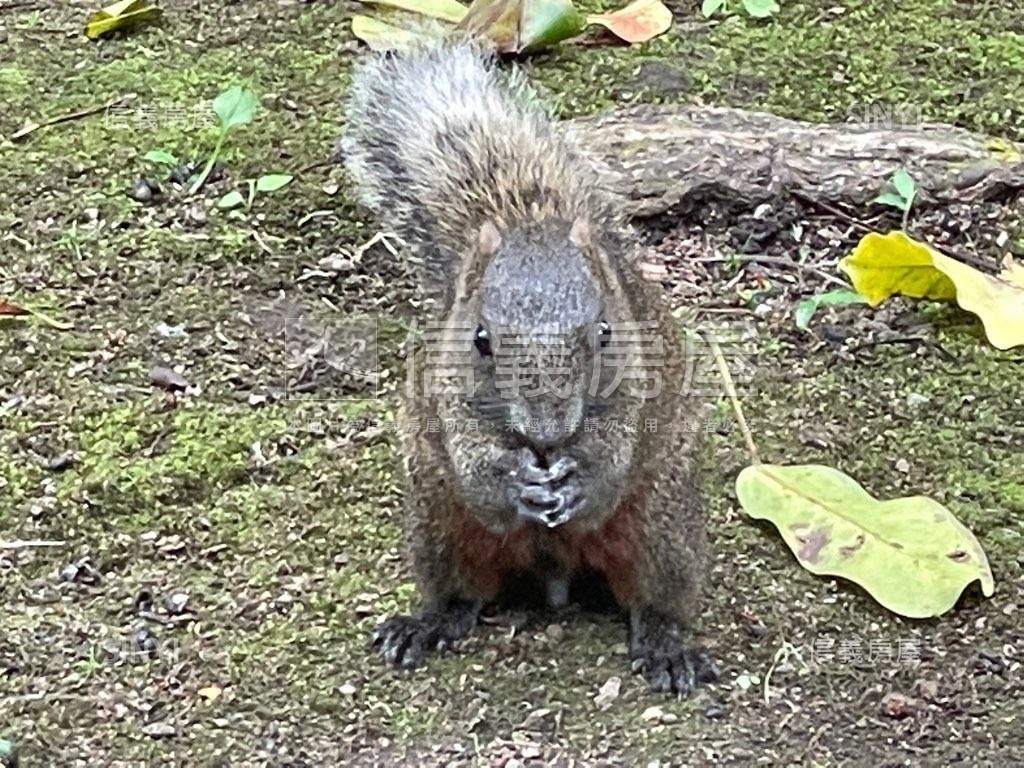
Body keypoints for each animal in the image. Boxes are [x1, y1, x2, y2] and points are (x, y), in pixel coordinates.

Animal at [339, 39, 716, 696]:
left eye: (605, 333)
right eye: (480, 340)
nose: (546, 433)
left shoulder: (637, 391)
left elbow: (612, 458)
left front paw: (580, 478)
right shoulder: (447, 397)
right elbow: (477, 467)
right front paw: (515, 480)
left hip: (660, 524)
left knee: (657, 595)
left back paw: (668, 644)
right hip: (440, 522)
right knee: (460, 590)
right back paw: (425, 624)